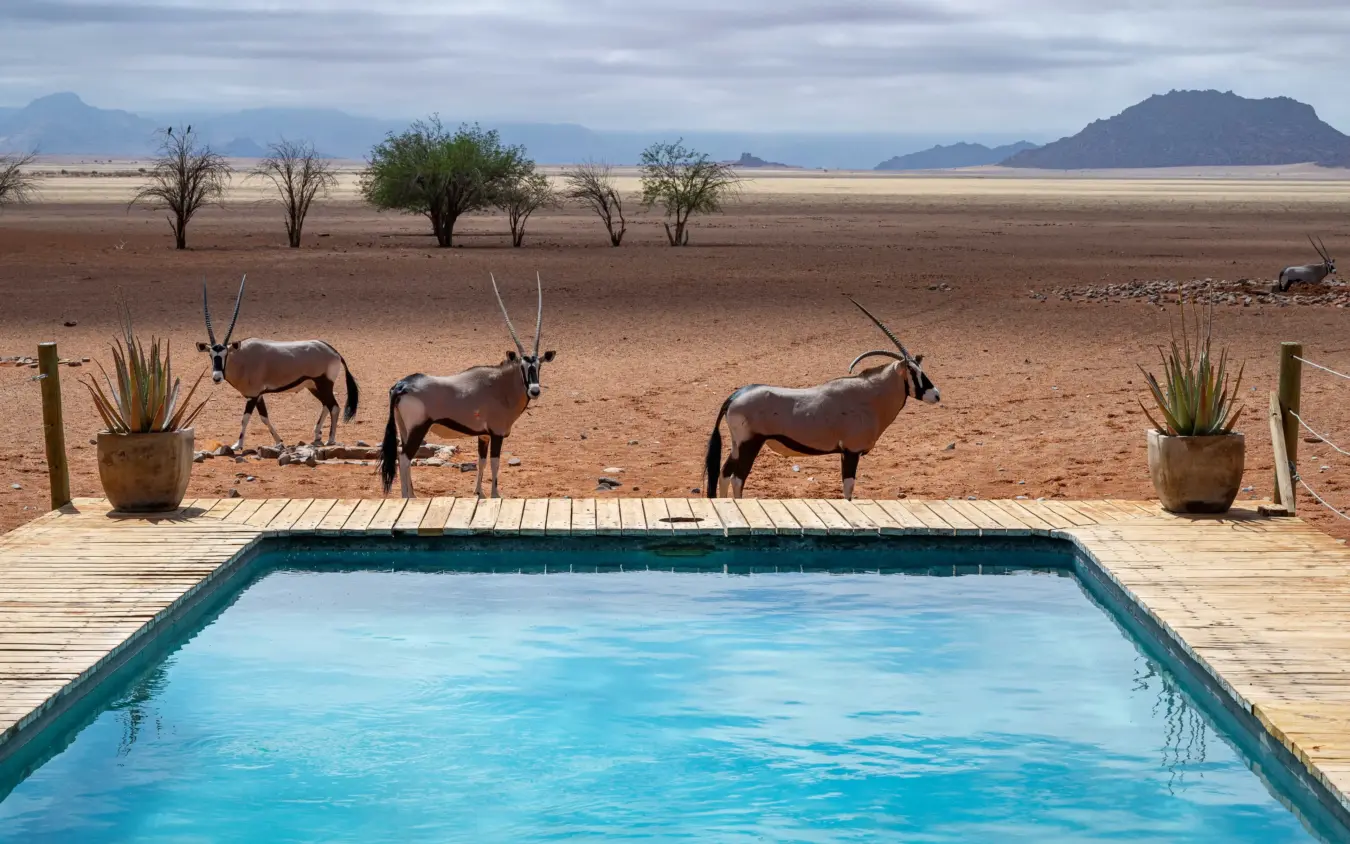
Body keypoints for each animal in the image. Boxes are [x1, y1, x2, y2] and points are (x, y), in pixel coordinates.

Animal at [197, 275, 360, 451]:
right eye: (211, 355)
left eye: (225, 354)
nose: (217, 377)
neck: (242, 358)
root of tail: (334, 352)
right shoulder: (258, 395)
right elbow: (264, 417)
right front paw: (279, 441)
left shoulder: (253, 395)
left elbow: (246, 418)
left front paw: (238, 445)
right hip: (313, 386)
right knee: (326, 405)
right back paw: (317, 434)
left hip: (323, 383)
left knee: (334, 407)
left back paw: (330, 439)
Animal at [380, 273, 555, 499]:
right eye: (522, 367)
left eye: (539, 365)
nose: (534, 390)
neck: (500, 387)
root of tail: (401, 385)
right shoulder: (497, 434)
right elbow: (495, 463)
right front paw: (495, 494)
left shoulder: (483, 435)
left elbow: (481, 462)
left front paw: (478, 492)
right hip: (418, 428)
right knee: (404, 457)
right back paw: (407, 497)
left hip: (404, 428)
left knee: (403, 455)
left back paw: (414, 494)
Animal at [705, 298, 939, 501]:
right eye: (913, 372)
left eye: (921, 370)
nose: (936, 394)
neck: (869, 396)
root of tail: (735, 396)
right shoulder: (851, 451)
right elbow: (848, 488)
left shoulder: (846, 452)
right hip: (750, 443)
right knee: (737, 479)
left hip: (738, 445)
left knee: (724, 474)